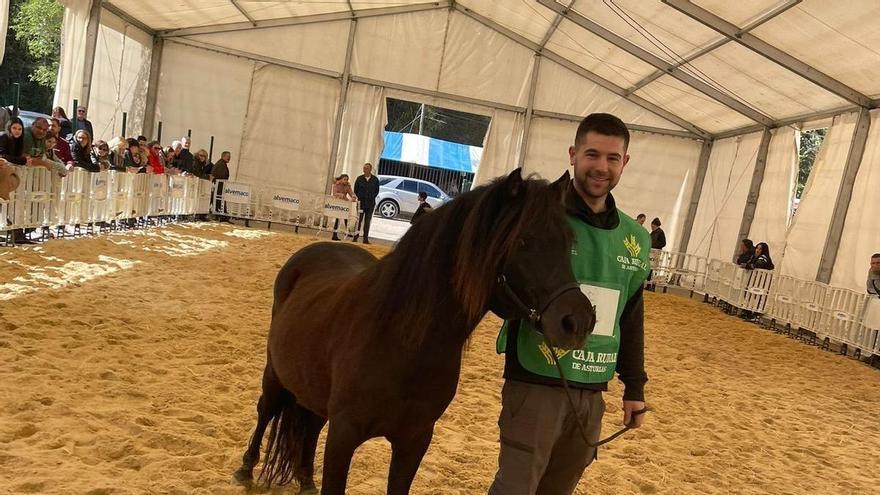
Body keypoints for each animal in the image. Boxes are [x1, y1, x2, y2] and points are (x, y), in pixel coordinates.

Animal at [234, 169, 596, 494]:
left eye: (569, 243)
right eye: (522, 240)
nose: (577, 321)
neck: (403, 344)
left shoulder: (415, 440)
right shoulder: (344, 434)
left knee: (310, 426)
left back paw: (306, 481)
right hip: (276, 374)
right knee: (266, 410)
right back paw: (246, 470)